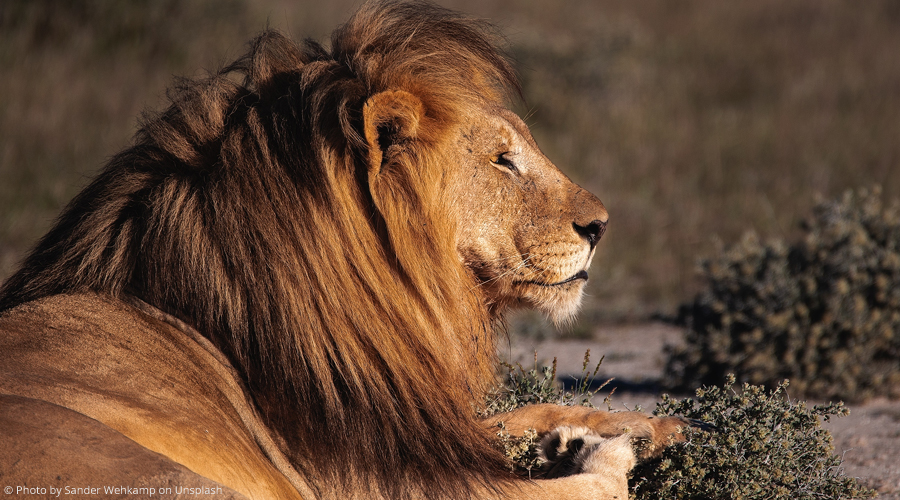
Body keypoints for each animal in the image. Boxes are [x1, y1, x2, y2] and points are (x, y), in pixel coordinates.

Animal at [0, 3, 688, 500]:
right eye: (501, 159)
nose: (601, 226)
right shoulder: (404, 478)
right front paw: (607, 443)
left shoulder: (422, 424)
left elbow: (534, 407)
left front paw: (655, 424)